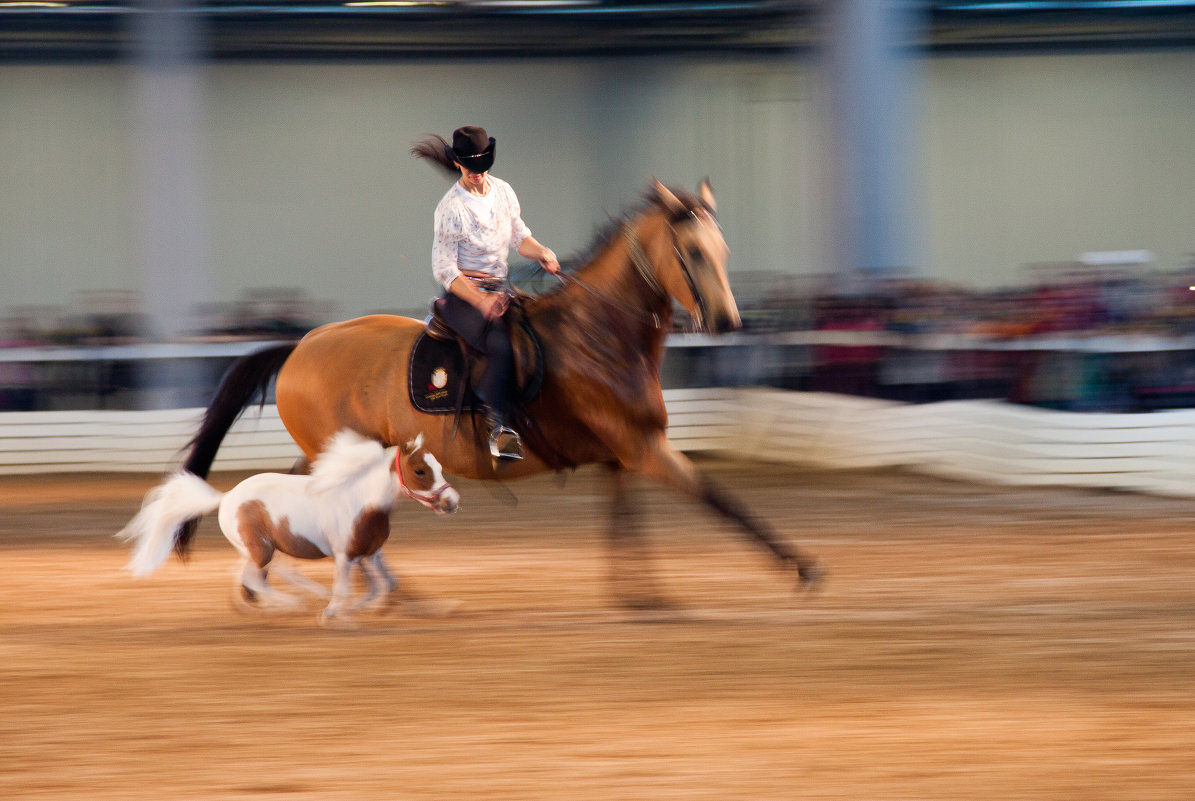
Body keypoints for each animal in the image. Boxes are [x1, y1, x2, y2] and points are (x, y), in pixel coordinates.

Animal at [120, 432, 456, 621]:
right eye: (420, 470)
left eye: (440, 466)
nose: (451, 502)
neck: (362, 501)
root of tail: (226, 497)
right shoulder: (344, 556)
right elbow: (346, 588)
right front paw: (332, 613)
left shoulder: (368, 554)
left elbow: (384, 585)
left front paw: (363, 608)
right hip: (261, 550)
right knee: (254, 578)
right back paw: (292, 604)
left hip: (260, 550)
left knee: (248, 574)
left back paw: (263, 606)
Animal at [173, 181, 817, 609]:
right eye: (696, 252)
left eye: (723, 251)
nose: (731, 323)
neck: (600, 334)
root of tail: (302, 344)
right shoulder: (644, 447)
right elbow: (720, 499)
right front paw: (802, 568)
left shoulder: (622, 453)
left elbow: (623, 518)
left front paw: (640, 595)